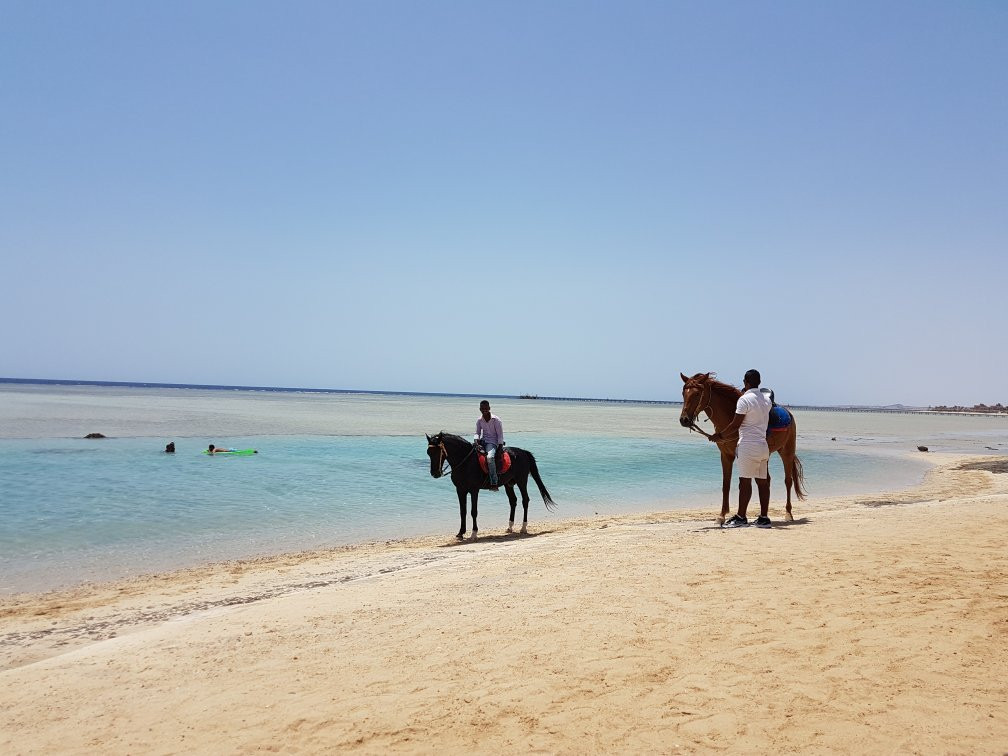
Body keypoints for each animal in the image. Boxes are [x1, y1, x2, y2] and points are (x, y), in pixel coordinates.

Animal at [426, 432, 556, 540]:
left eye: (437, 452)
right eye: (428, 453)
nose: (435, 473)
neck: (465, 462)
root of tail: (523, 452)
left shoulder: (474, 490)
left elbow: (473, 511)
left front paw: (474, 533)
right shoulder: (460, 490)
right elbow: (462, 511)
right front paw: (460, 533)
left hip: (522, 481)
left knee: (525, 500)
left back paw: (523, 528)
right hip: (508, 484)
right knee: (513, 501)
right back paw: (510, 527)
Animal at [679, 372, 806, 524]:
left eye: (697, 394)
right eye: (683, 393)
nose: (684, 420)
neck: (730, 416)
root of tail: (788, 413)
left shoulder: (741, 457)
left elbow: (742, 484)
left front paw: (736, 516)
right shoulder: (726, 455)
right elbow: (726, 485)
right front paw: (722, 515)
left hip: (787, 452)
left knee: (788, 481)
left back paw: (788, 513)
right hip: (766, 456)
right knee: (766, 481)